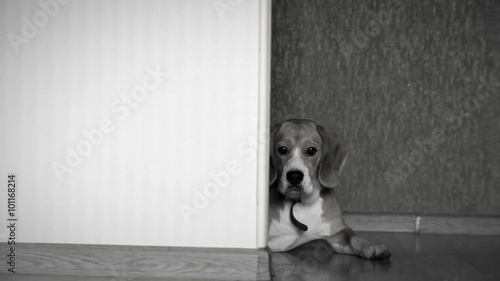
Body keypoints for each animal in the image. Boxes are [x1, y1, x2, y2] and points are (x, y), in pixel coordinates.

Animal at [268, 118, 392, 258]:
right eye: (282, 149)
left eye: (311, 150)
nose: (294, 176)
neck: (298, 202)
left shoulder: (338, 233)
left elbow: (354, 238)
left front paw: (372, 246)